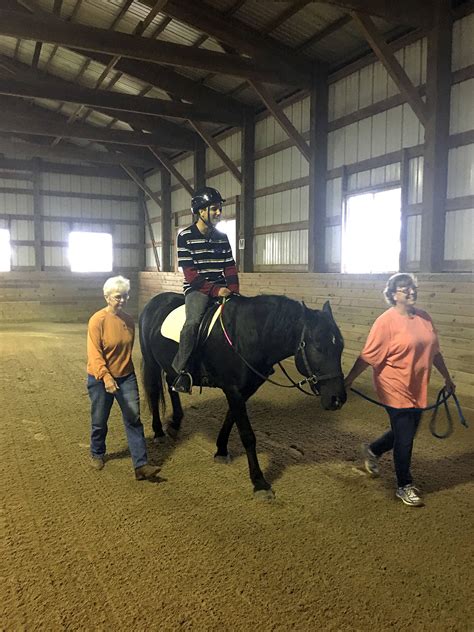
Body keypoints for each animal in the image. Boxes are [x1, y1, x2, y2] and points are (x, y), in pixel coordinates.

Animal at [139, 294, 346, 502]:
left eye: (341, 347)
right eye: (318, 347)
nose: (337, 399)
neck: (250, 335)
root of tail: (155, 300)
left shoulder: (244, 391)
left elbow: (230, 419)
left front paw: (221, 450)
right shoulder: (233, 390)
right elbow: (247, 435)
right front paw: (259, 483)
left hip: (170, 366)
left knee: (171, 384)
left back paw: (175, 424)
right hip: (150, 361)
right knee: (154, 391)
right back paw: (159, 433)